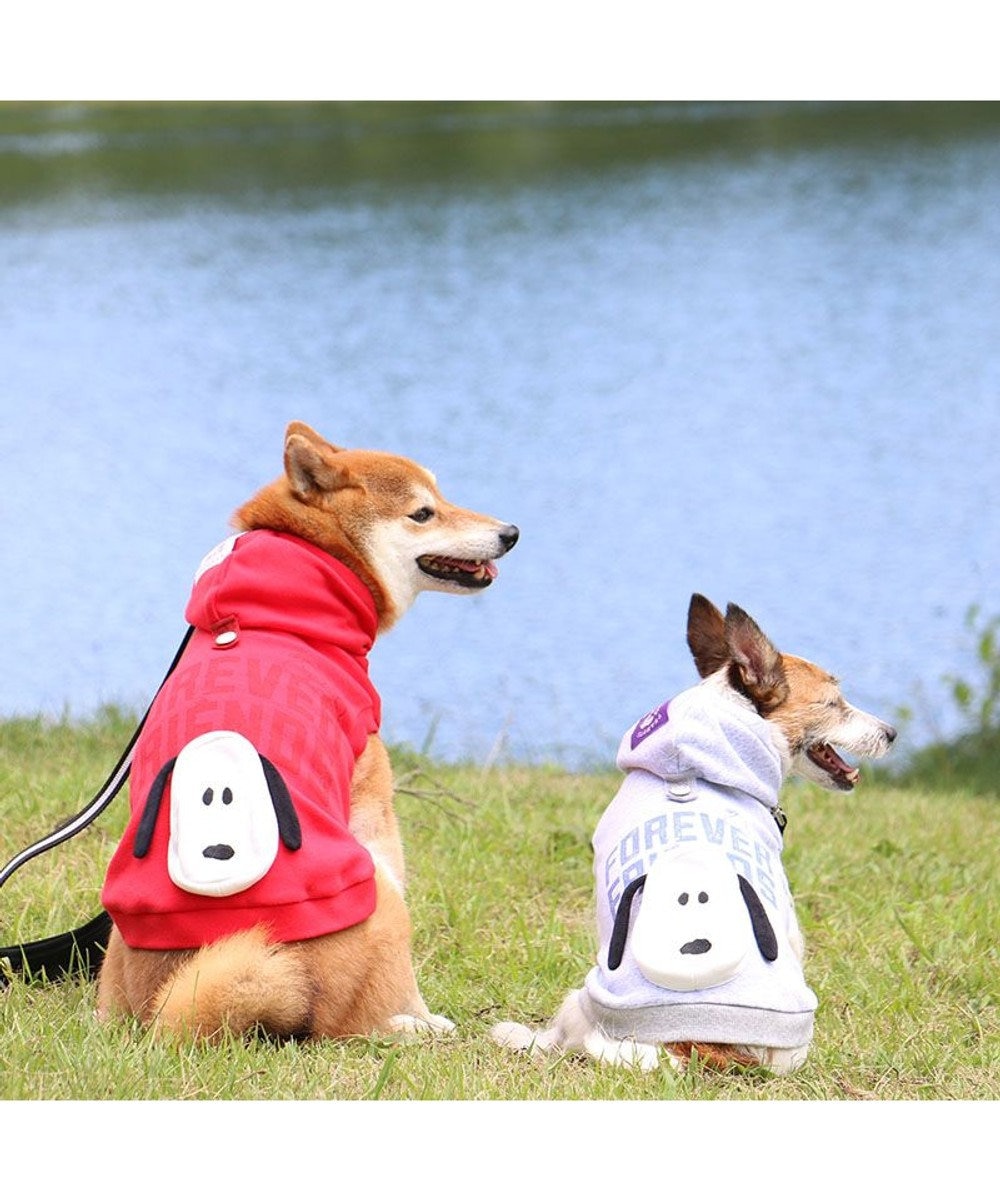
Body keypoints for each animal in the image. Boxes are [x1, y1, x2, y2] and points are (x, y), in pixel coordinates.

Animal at [94, 422, 518, 1041]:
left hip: (117, 957)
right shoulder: (372, 795)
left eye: (442, 497)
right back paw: (415, 1027)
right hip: (378, 892)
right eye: (423, 513)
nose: (511, 532)